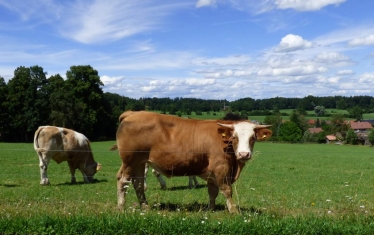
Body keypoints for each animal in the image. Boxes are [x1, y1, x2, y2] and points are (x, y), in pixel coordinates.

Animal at [114, 111, 272, 214]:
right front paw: (234, 211)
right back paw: (121, 207)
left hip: (140, 163)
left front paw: (210, 209)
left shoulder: (212, 172)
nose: (244, 154)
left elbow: (212, 192)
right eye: (234, 137)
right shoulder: (221, 168)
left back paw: (145, 206)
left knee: (138, 184)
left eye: (253, 138)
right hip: (130, 161)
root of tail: (132, 113)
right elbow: (227, 190)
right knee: (123, 181)